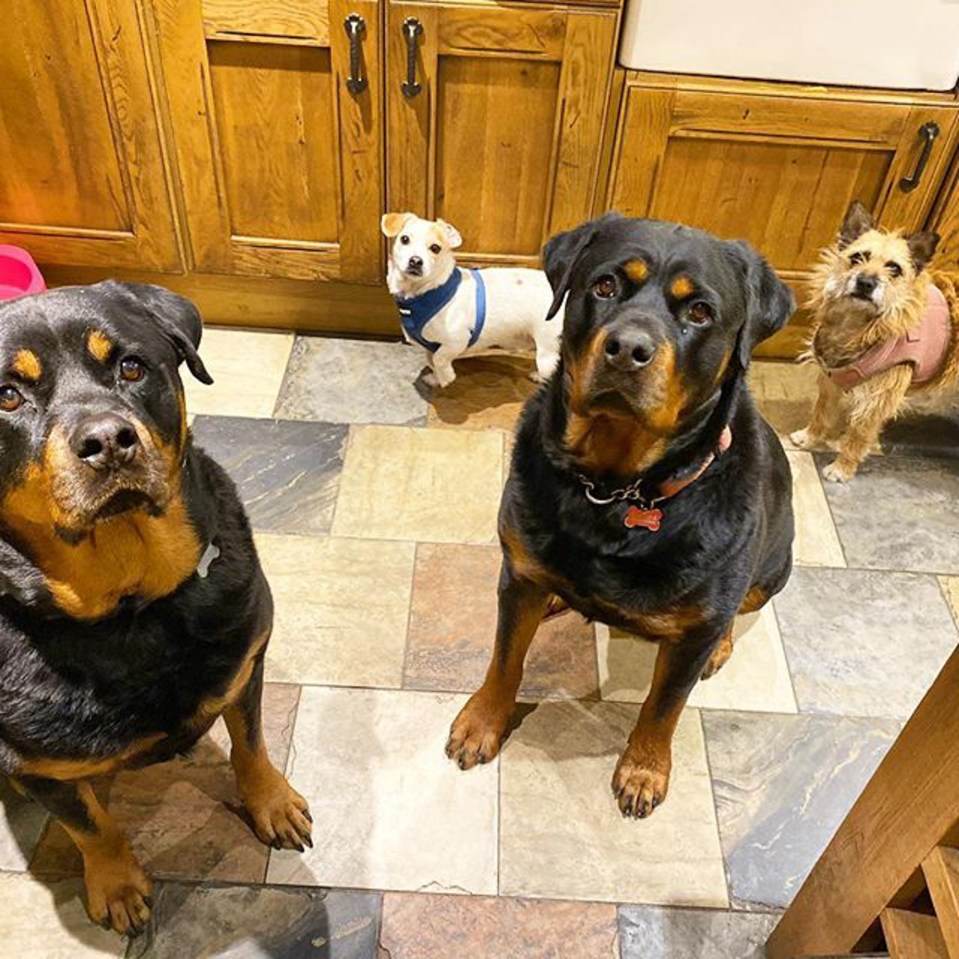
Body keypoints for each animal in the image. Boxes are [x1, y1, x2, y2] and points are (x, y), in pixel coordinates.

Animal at [382, 212, 564, 388]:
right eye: (404, 239)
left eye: (435, 248)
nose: (415, 261)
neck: (423, 292)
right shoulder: (430, 346)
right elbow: (430, 359)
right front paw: (436, 379)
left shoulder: (457, 341)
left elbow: (439, 358)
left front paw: (446, 376)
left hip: (547, 353)